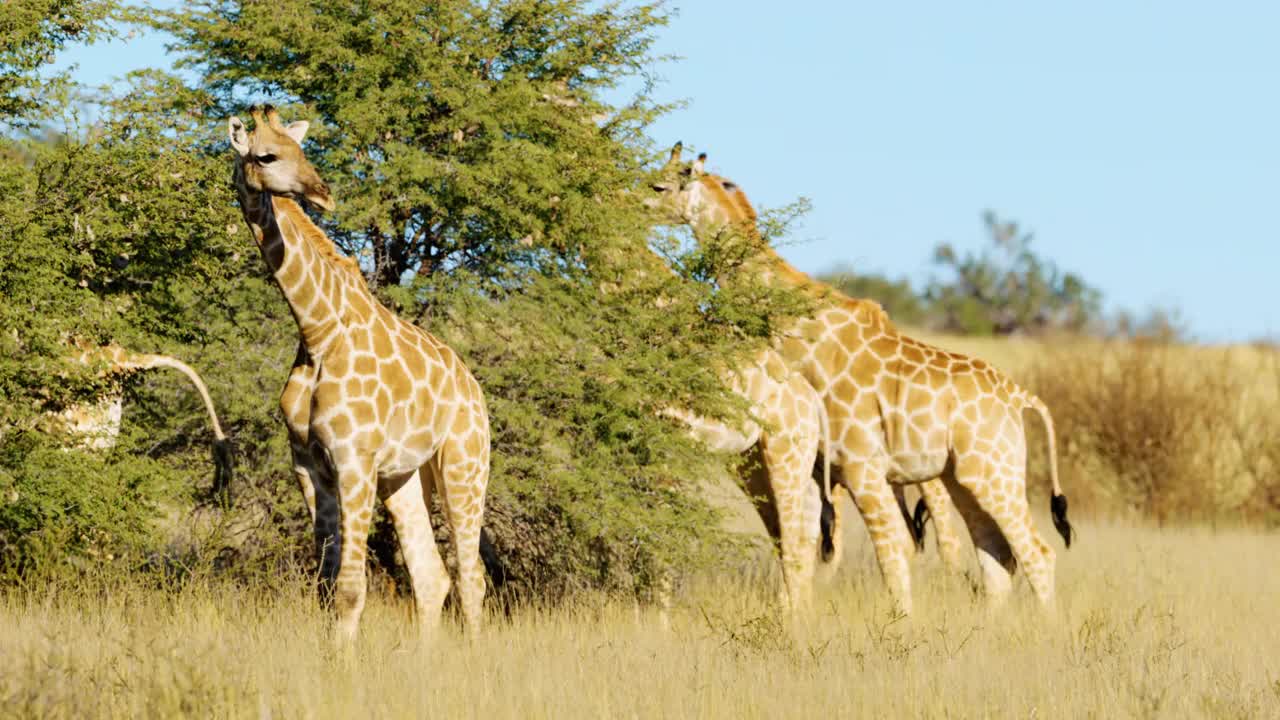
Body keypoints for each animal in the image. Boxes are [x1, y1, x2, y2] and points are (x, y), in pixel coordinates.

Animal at [227, 106, 491, 638]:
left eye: (301, 149)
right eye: (266, 156)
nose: (322, 191)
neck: (317, 329)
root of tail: (476, 392)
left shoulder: (354, 459)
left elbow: (351, 590)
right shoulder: (310, 466)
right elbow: (326, 588)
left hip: (464, 465)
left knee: (471, 577)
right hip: (405, 476)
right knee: (432, 577)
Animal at [645, 146, 1075, 609]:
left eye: (659, 185)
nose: (629, 200)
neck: (799, 330)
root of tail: (1019, 396)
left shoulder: (858, 464)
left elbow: (887, 552)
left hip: (993, 474)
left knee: (1036, 553)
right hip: (965, 477)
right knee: (996, 556)